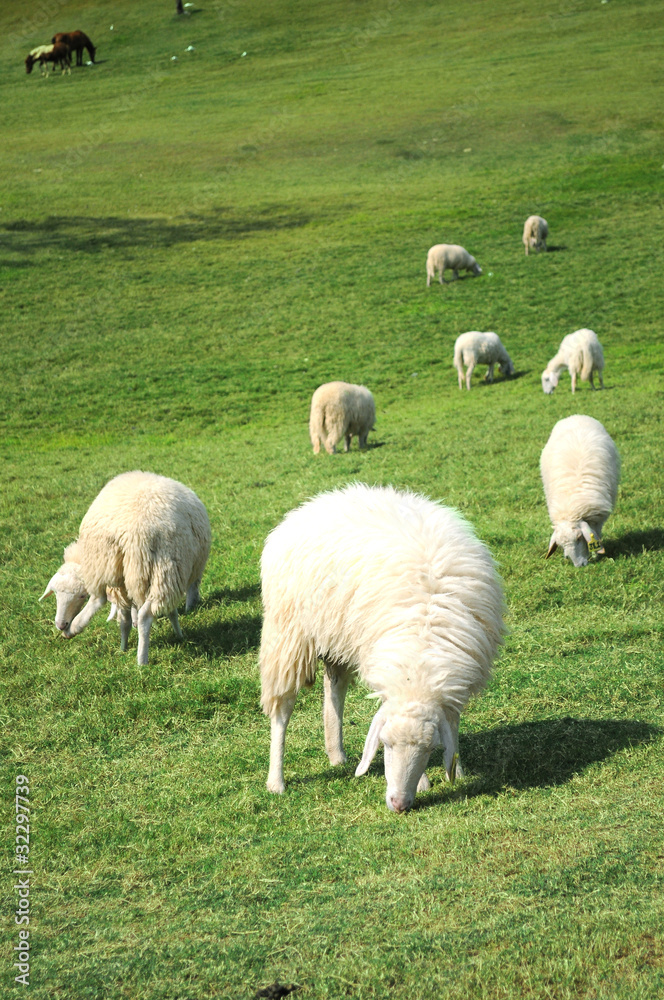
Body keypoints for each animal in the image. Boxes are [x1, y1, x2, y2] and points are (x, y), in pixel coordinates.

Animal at [40, 471, 211, 664]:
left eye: (81, 596)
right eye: (55, 594)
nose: (61, 624)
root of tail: (135, 535)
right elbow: (141, 614)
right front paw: (177, 633)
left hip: (136, 569)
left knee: (101, 599)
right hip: (163, 572)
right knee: (140, 613)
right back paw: (138, 655)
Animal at [259, 483, 505, 812]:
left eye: (431, 748)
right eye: (385, 744)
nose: (398, 803)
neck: (420, 657)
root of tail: (313, 504)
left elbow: (452, 724)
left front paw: (457, 770)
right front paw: (426, 782)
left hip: (336, 635)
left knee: (334, 689)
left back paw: (336, 753)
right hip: (288, 635)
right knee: (282, 711)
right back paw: (276, 781)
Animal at [540, 415, 620, 567]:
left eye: (579, 538)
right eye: (560, 545)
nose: (579, 565)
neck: (571, 509)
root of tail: (575, 416)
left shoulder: (598, 518)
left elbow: (596, 534)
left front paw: (596, 554)